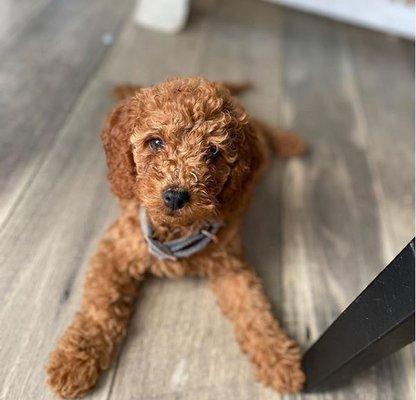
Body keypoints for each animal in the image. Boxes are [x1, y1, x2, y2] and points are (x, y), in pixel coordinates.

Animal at [45, 77, 306, 396]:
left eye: (213, 152)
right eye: (155, 142)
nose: (175, 196)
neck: (176, 230)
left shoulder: (231, 265)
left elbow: (255, 309)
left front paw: (279, 358)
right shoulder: (116, 249)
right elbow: (100, 305)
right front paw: (75, 359)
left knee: (264, 130)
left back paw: (290, 141)